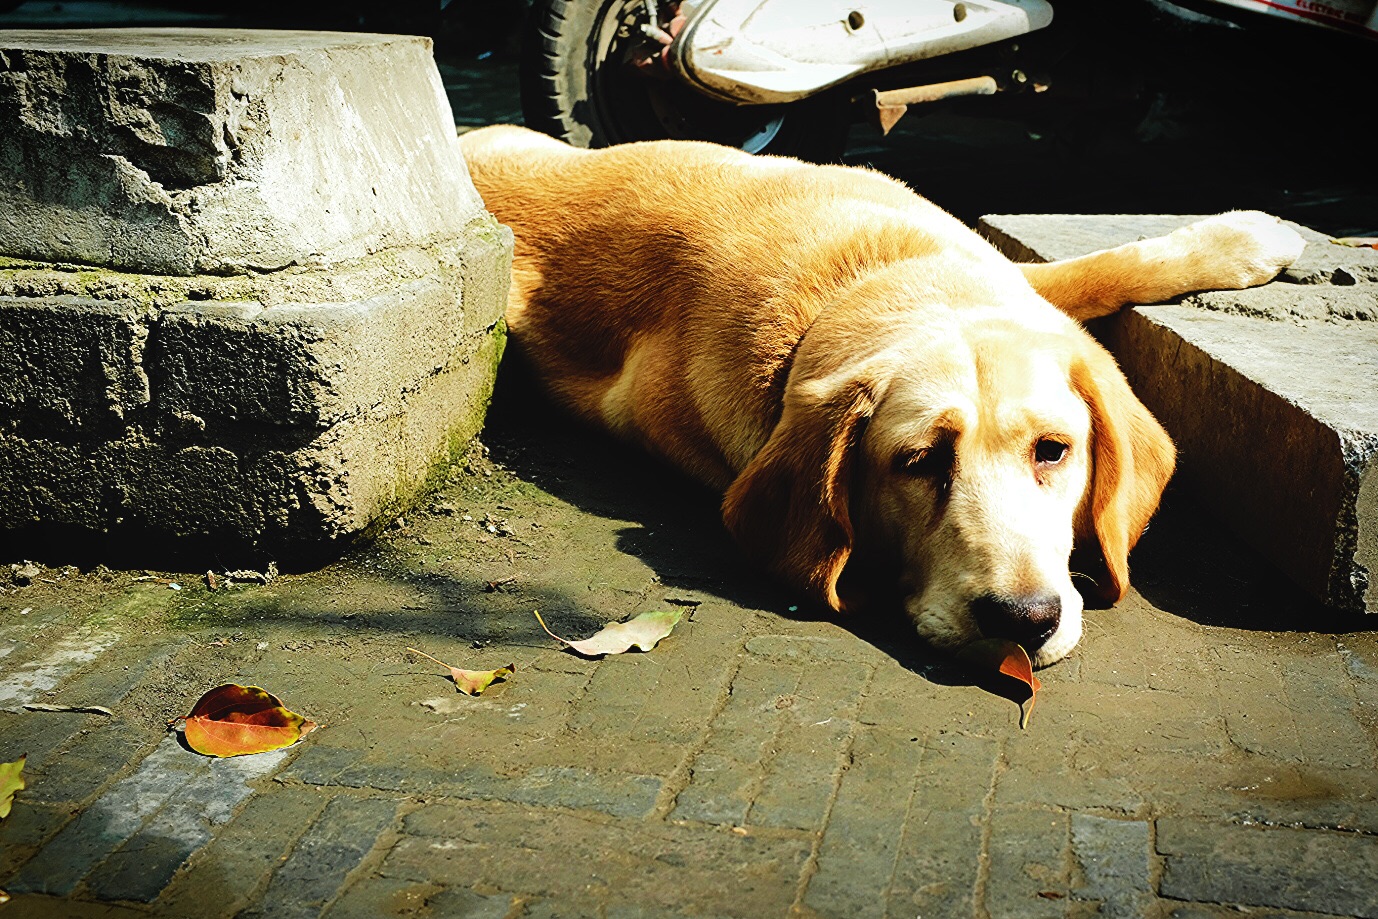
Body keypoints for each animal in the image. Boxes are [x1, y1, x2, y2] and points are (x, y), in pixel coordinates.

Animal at [460, 126, 1300, 664]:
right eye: (917, 462)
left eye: (1053, 451)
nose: (1024, 619)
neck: (875, 276)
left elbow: (1094, 268)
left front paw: (1243, 238)